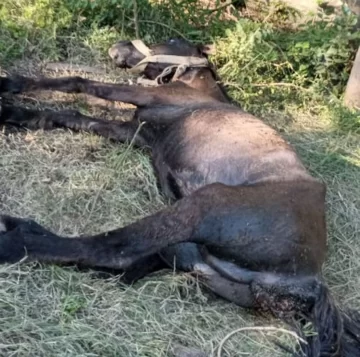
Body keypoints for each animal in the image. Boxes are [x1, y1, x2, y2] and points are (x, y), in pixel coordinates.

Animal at [0, 37, 358, 354]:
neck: (198, 90)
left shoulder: (144, 98)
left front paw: (8, 86)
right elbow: (76, 116)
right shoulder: (135, 132)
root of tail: (311, 283)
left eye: (172, 40)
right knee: (127, 260)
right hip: (188, 252)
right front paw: (16, 114)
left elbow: (79, 83)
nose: (119, 47)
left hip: (203, 204)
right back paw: (21, 226)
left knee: (112, 249)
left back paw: (14, 241)